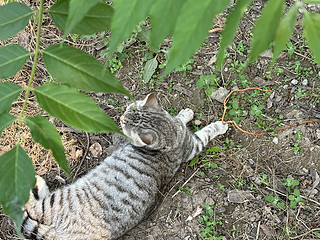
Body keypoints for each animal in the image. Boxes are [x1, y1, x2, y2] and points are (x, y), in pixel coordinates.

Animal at [20, 92, 228, 240]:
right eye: (128, 109)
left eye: (126, 124)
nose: (119, 118)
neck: (169, 134)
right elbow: (180, 119)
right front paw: (185, 114)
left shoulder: (193, 146)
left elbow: (207, 132)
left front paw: (219, 125)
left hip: (57, 201)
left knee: (32, 207)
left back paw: (32, 183)